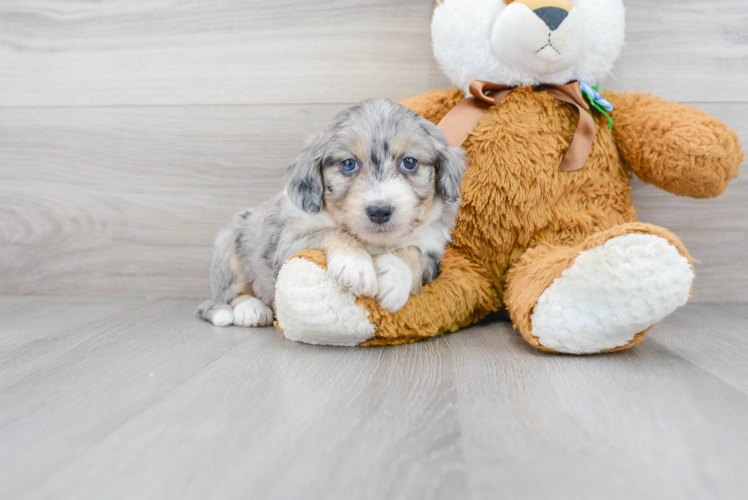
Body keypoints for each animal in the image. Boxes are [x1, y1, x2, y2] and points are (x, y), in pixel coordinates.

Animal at [199, 99, 468, 330]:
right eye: (348, 164)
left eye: (410, 162)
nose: (379, 211)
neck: (374, 242)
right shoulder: (289, 241)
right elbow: (333, 232)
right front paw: (356, 264)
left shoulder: (433, 250)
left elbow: (414, 253)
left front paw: (395, 276)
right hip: (228, 247)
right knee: (231, 294)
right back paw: (251, 309)